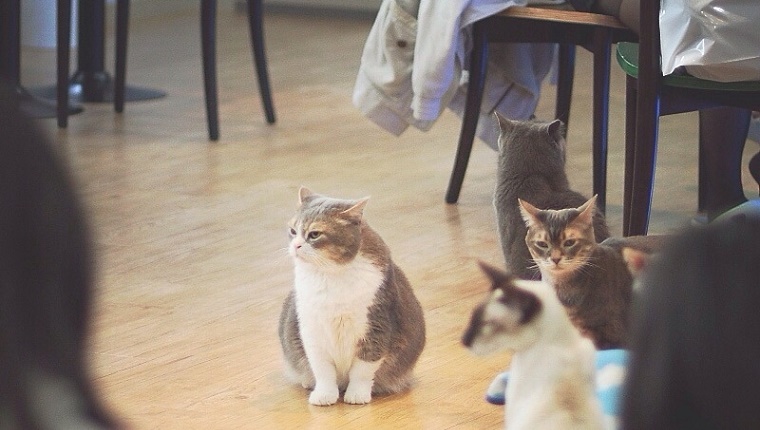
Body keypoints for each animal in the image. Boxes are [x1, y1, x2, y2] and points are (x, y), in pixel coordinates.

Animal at [278, 188, 424, 406]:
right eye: (293, 231)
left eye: (314, 234)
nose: (295, 245)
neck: (330, 274)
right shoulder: (312, 331)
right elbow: (322, 369)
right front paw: (324, 395)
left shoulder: (376, 327)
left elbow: (362, 370)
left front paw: (357, 395)